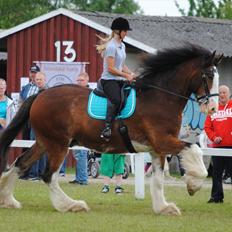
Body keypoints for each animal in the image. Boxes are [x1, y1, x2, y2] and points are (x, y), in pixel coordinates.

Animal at [0, 44, 221, 216]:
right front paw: (193, 185)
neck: (160, 98)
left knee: (21, 163)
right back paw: (70, 205)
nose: (213, 108)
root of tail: (40, 94)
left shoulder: (157, 148)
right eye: (210, 75)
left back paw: (8, 200)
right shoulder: (162, 141)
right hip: (58, 144)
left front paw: (163, 208)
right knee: (49, 175)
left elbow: (158, 179)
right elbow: (195, 150)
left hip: (45, 141)